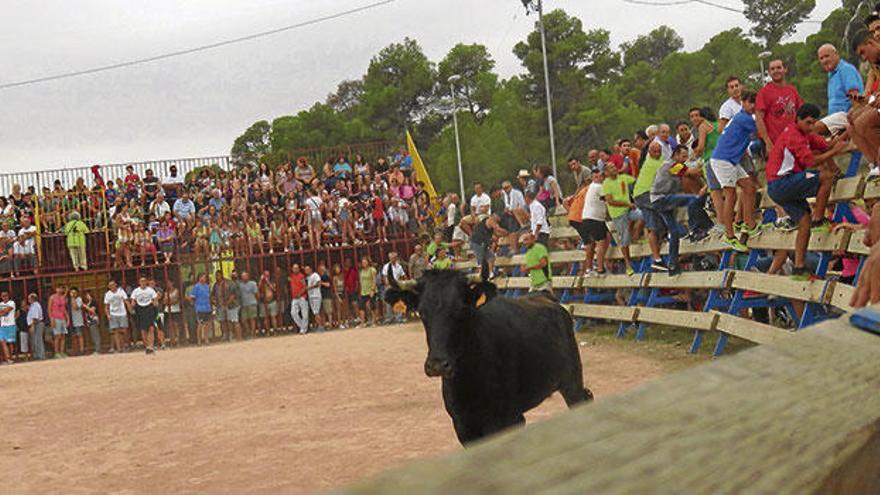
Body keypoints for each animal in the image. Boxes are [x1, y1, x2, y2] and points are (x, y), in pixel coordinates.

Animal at [384, 270, 596, 448]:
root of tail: (545, 296)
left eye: (461, 309)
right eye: (422, 312)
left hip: (571, 383)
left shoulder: (501, 420)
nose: (437, 365)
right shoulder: (463, 425)